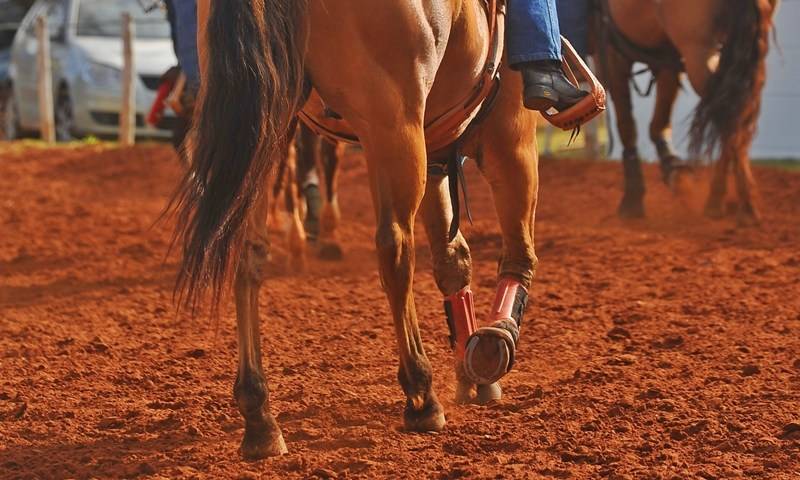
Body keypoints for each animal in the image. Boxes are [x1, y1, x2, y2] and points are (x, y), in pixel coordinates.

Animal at [172, 0, 546, 459]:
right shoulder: (509, 132)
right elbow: (517, 249)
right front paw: (493, 344)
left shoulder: (437, 141)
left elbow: (452, 258)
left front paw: (469, 367)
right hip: (393, 129)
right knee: (395, 247)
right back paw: (421, 397)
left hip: (266, 129)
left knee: (248, 253)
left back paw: (260, 418)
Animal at [594, 0, 778, 224]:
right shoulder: (665, 55)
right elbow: (659, 123)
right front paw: (674, 172)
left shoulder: (613, 52)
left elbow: (627, 125)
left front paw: (632, 200)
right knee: (735, 114)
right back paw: (724, 203)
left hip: (699, 53)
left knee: (728, 115)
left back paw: (740, 206)